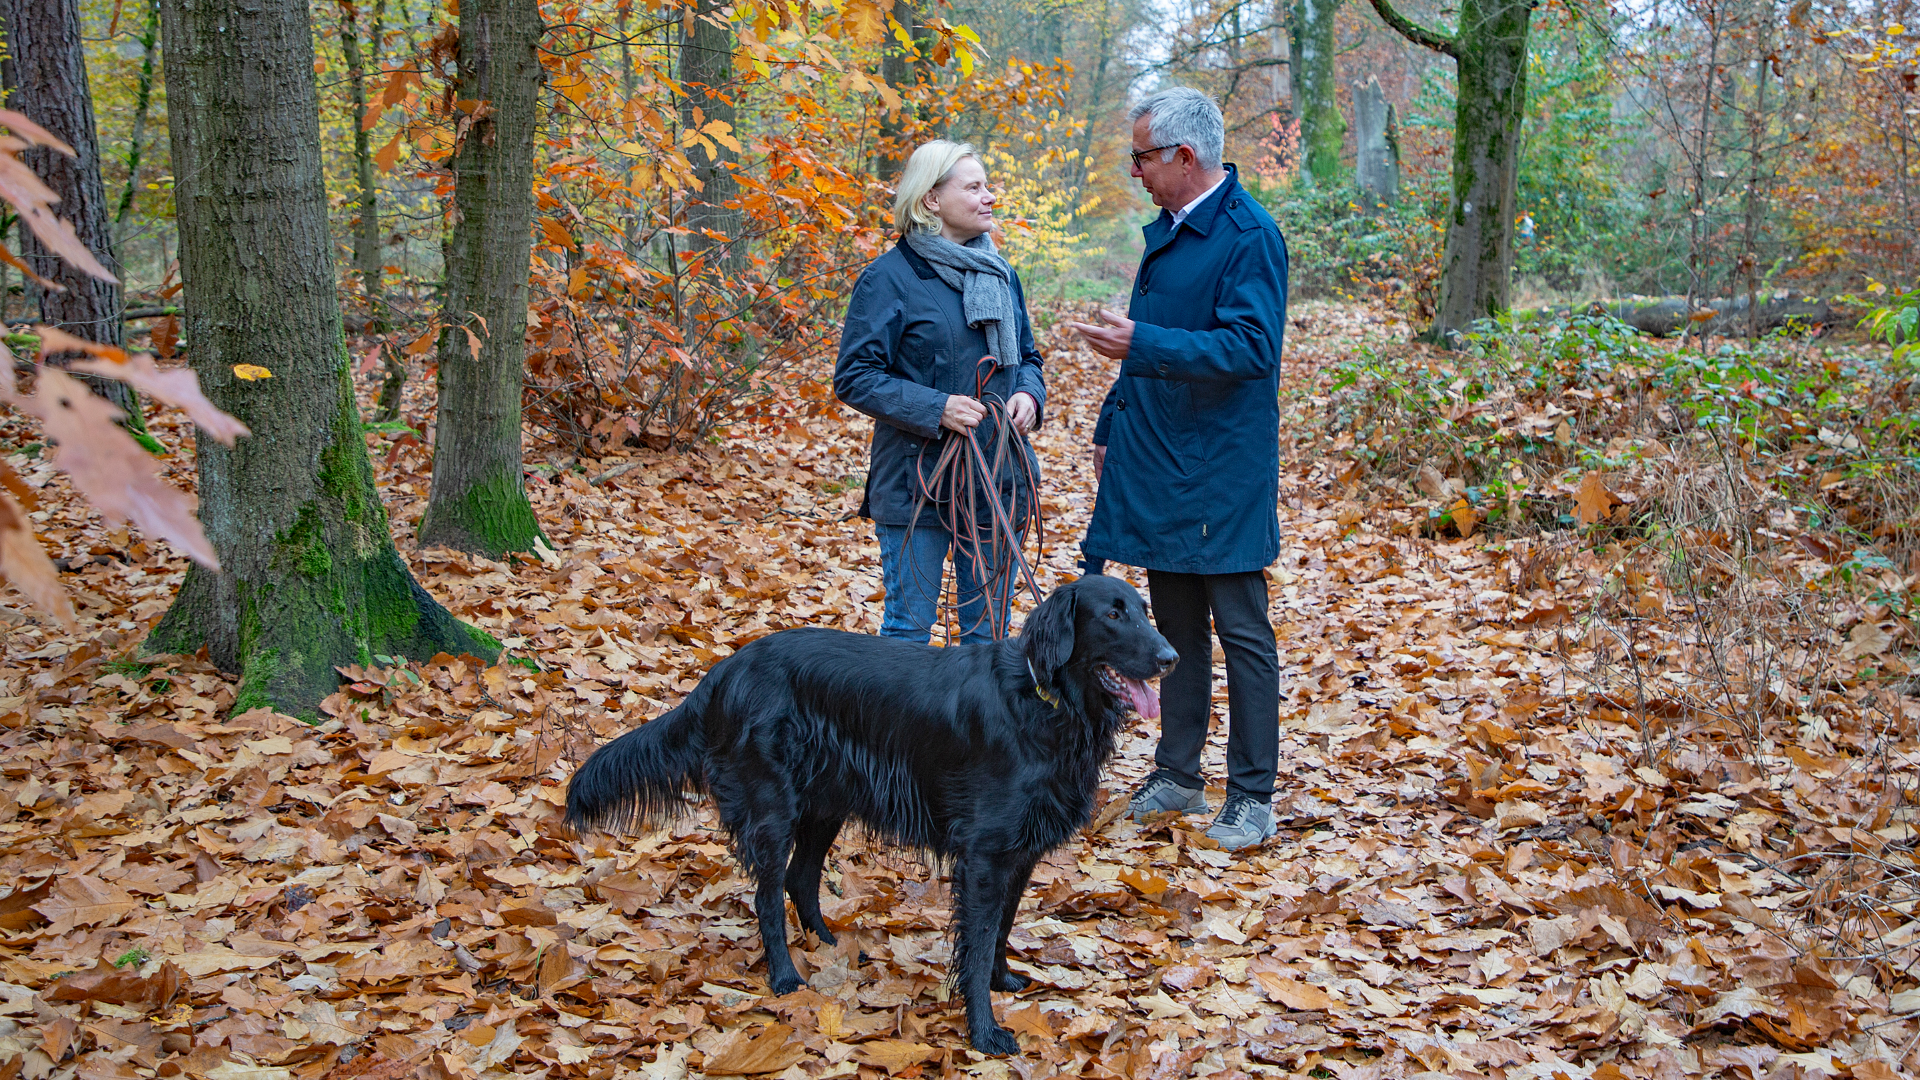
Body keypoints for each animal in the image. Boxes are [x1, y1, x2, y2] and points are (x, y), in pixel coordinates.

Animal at [560, 576, 1175, 1045]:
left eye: (1146, 610)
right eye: (1112, 614)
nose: (1170, 658)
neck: (1047, 704)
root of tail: (725, 670)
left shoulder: (1019, 853)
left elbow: (1000, 929)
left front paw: (1004, 982)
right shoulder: (984, 854)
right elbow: (976, 943)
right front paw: (984, 1031)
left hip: (825, 803)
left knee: (800, 878)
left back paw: (828, 944)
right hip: (772, 808)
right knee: (767, 894)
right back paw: (786, 977)